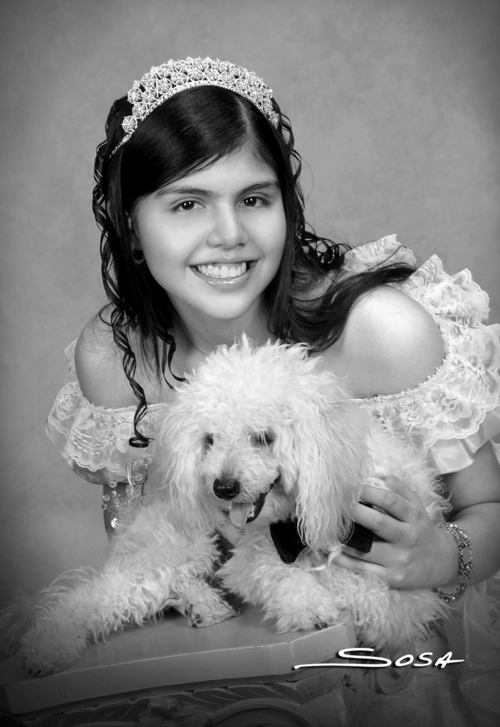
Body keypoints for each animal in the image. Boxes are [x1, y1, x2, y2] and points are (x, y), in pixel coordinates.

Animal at [2, 339, 449, 677]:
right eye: (210, 439)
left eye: (264, 437)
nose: (224, 487)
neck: (294, 523)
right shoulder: (254, 556)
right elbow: (286, 576)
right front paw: (310, 605)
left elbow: (382, 599)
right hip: (181, 545)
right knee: (101, 596)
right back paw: (46, 646)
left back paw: (204, 606)